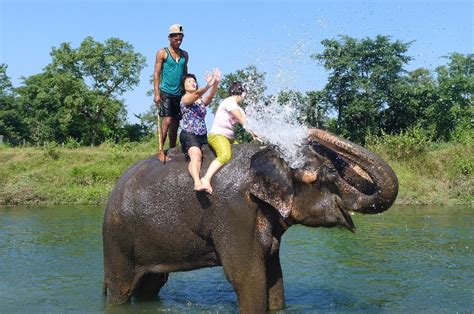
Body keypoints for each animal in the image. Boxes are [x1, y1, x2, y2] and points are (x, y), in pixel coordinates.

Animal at [103, 129, 396, 312]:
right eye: (326, 176)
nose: (310, 132)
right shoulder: (233, 213)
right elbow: (247, 277)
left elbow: (274, 277)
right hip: (118, 241)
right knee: (121, 288)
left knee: (151, 285)